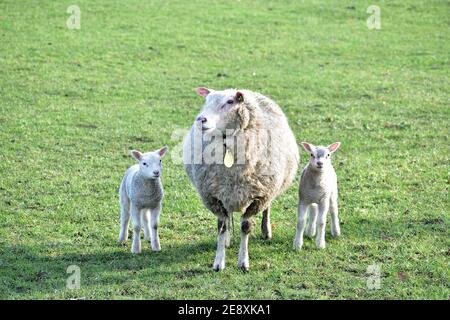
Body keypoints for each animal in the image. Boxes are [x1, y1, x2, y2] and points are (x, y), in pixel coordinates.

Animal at [183, 87, 298, 270]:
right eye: (206, 101)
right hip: (227, 192)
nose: (201, 119)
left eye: (230, 102)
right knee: (228, 216)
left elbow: (245, 227)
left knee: (267, 208)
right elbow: (221, 227)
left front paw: (243, 262)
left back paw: (266, 231)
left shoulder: (259, 196)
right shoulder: (214, 196)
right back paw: (228, 239)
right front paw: (219, 261)